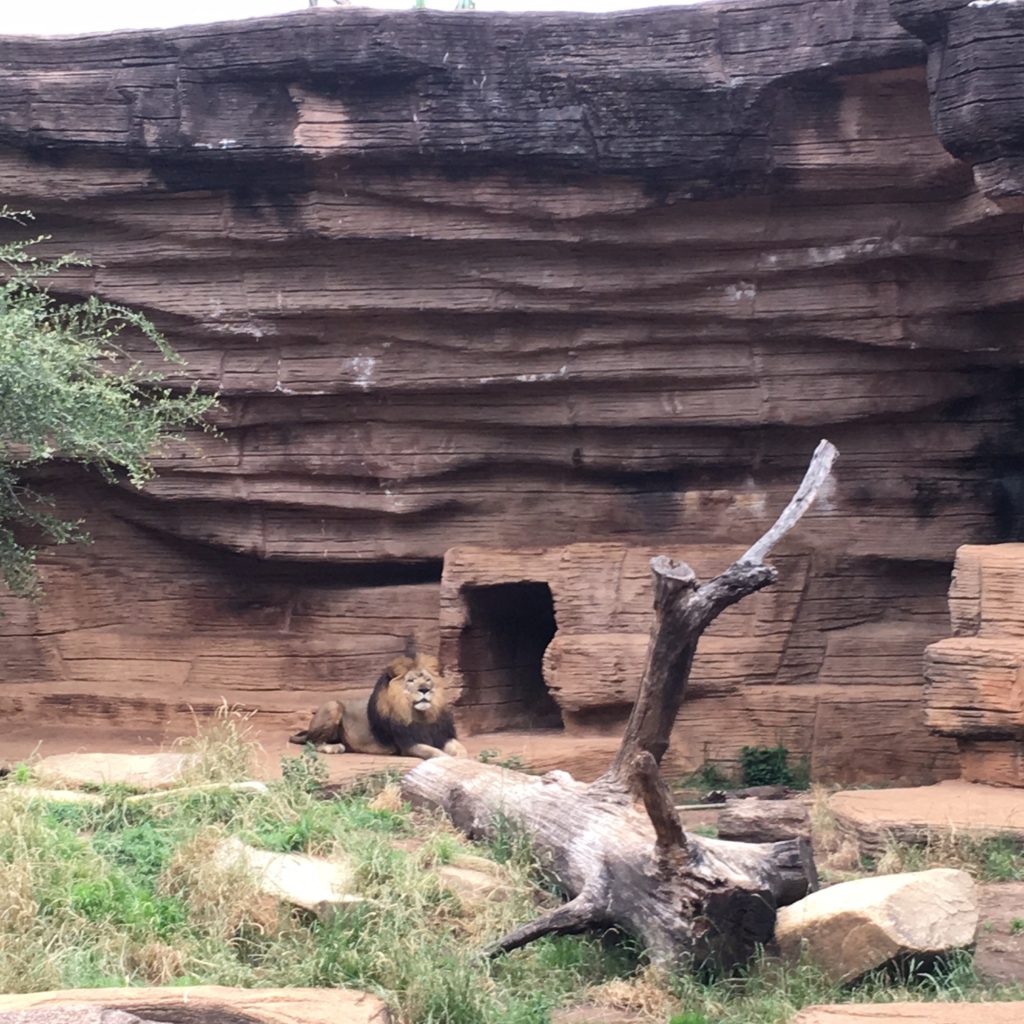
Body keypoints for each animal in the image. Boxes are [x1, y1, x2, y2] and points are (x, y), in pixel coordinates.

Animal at [289, 653, 467, 760]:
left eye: (428, 679)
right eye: (410, 681)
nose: (424, 689)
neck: (421, 716)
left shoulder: (442, 736)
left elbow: (461, 748)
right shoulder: (408, 744)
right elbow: (436, 753)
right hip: (333, 706)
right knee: (313, 742)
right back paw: (333, 748)